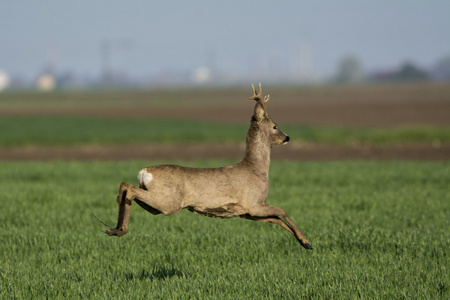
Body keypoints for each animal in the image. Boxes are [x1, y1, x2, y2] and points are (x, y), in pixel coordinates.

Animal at [104, 83, 312, 250]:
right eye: (275, 126)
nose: (287, 137)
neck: (257, 169)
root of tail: (145, 172)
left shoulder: (247, 212)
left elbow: (276, 219)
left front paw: (303, 243)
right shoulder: (254, 203)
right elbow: (282, 211)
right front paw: (307, 241)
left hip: (156, 204)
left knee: (126, 187)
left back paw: (115, 228)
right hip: (169, 202)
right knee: (130, 188)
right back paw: (120, 228)